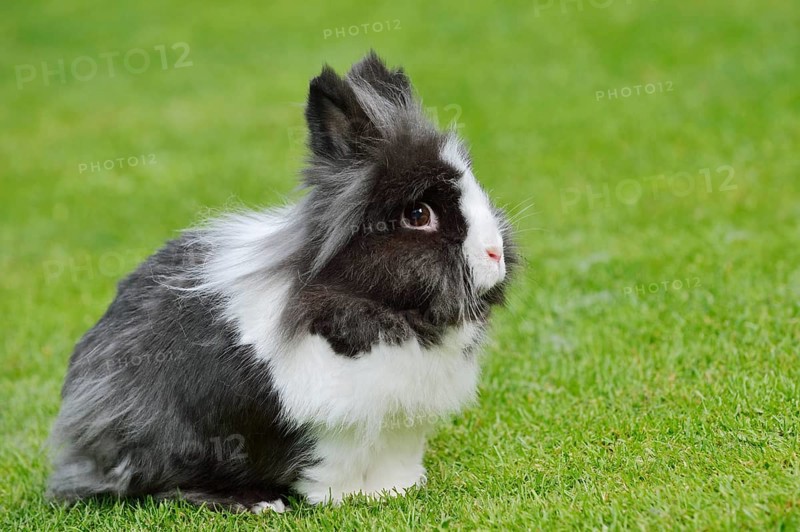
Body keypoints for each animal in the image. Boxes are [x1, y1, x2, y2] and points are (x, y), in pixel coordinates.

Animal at [46, 51, 517, 513]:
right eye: (419, 214)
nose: (495, 253)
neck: (382, 307)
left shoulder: (400, 424)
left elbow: (395, 458)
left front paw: (396, 491)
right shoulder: (328, 423)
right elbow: (333, 465)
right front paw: (343, 499)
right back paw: (258, 502)